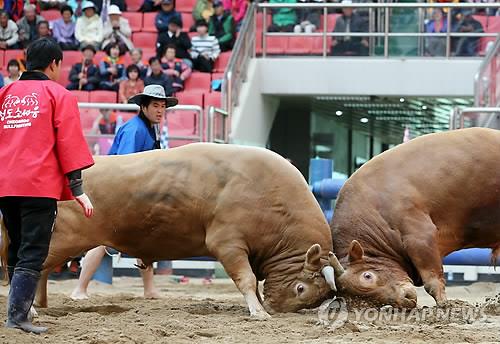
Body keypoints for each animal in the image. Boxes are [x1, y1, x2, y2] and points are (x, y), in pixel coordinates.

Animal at [29, 144, 342, 318]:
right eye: (300, 288)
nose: (277, 308)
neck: (269, 197)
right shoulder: (229, 244)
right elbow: (247, 279)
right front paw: (258, 311)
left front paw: (261, 306)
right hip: (63, 239)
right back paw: (31, 309)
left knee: (42, 270)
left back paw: (41, 304)